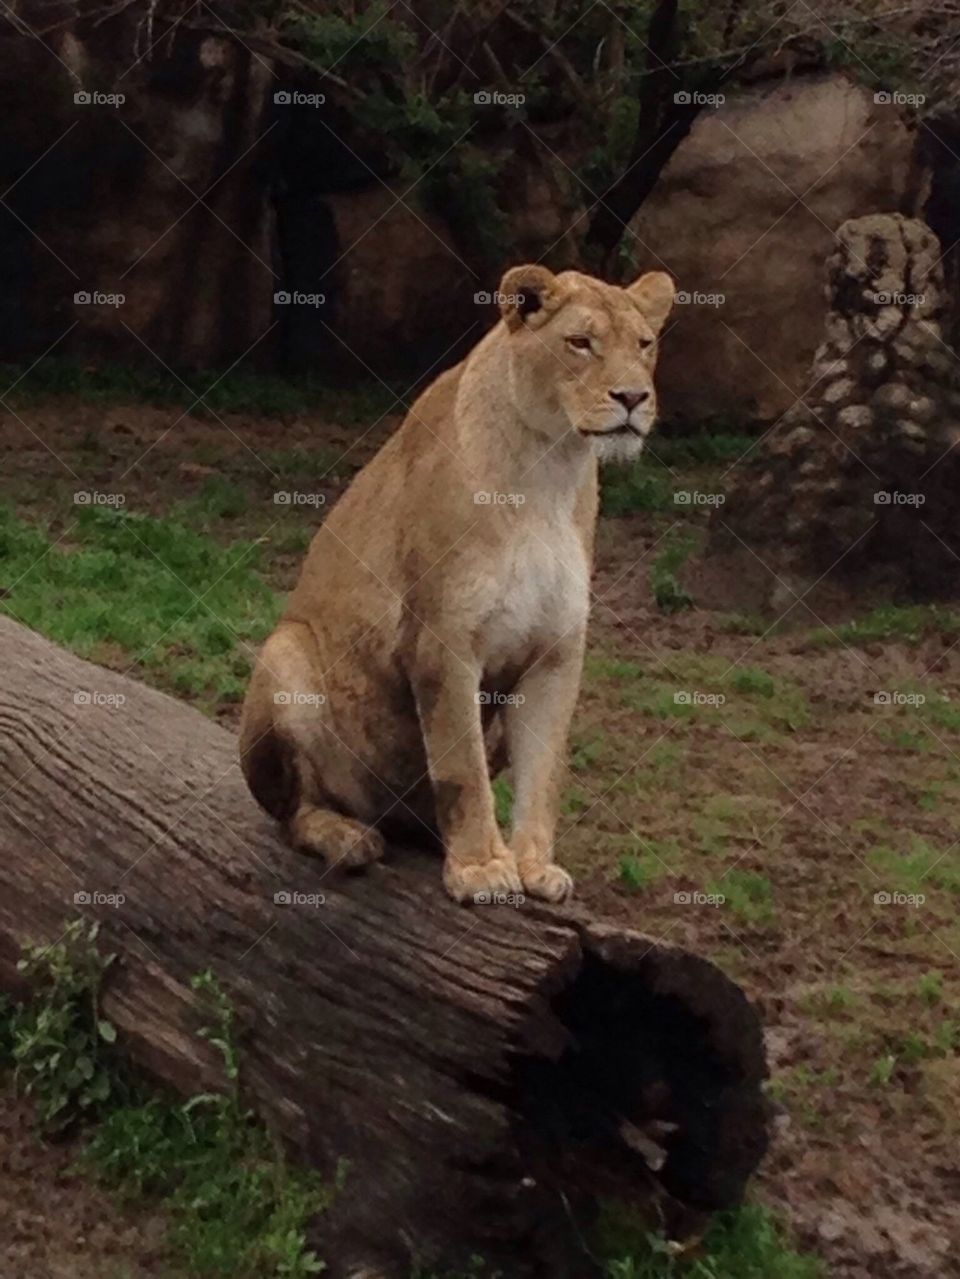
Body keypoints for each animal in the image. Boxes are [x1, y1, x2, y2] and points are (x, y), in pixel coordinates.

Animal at [240, 263, 674, 904]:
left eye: (644, 345)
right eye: (580, 343)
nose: (633, 398)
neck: (550, 468)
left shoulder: (556, 651)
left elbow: (544, 772)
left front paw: (534, 864)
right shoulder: (442, 641)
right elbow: (460, 765)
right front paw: (480, 868)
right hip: (285, 650)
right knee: (292, 812)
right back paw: (347, 838)